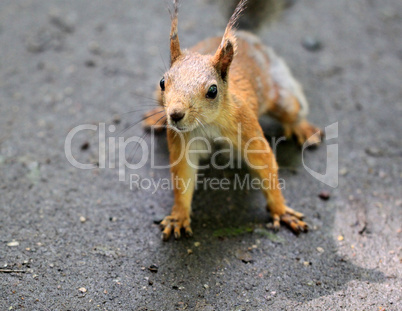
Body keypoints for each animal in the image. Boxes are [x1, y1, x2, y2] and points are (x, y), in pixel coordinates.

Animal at [143, 0, 322, 241]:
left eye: (212, 91)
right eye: (163, 81)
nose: (175, 114)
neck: (208, 124)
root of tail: (246, 36)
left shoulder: (247, 127)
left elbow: (266, 165)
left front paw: (281, 210)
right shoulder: (183, 140)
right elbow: (183, 177)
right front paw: (178, 217)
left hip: (280, 92)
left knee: (292, 108)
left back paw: (302, 128)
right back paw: (155, 117)